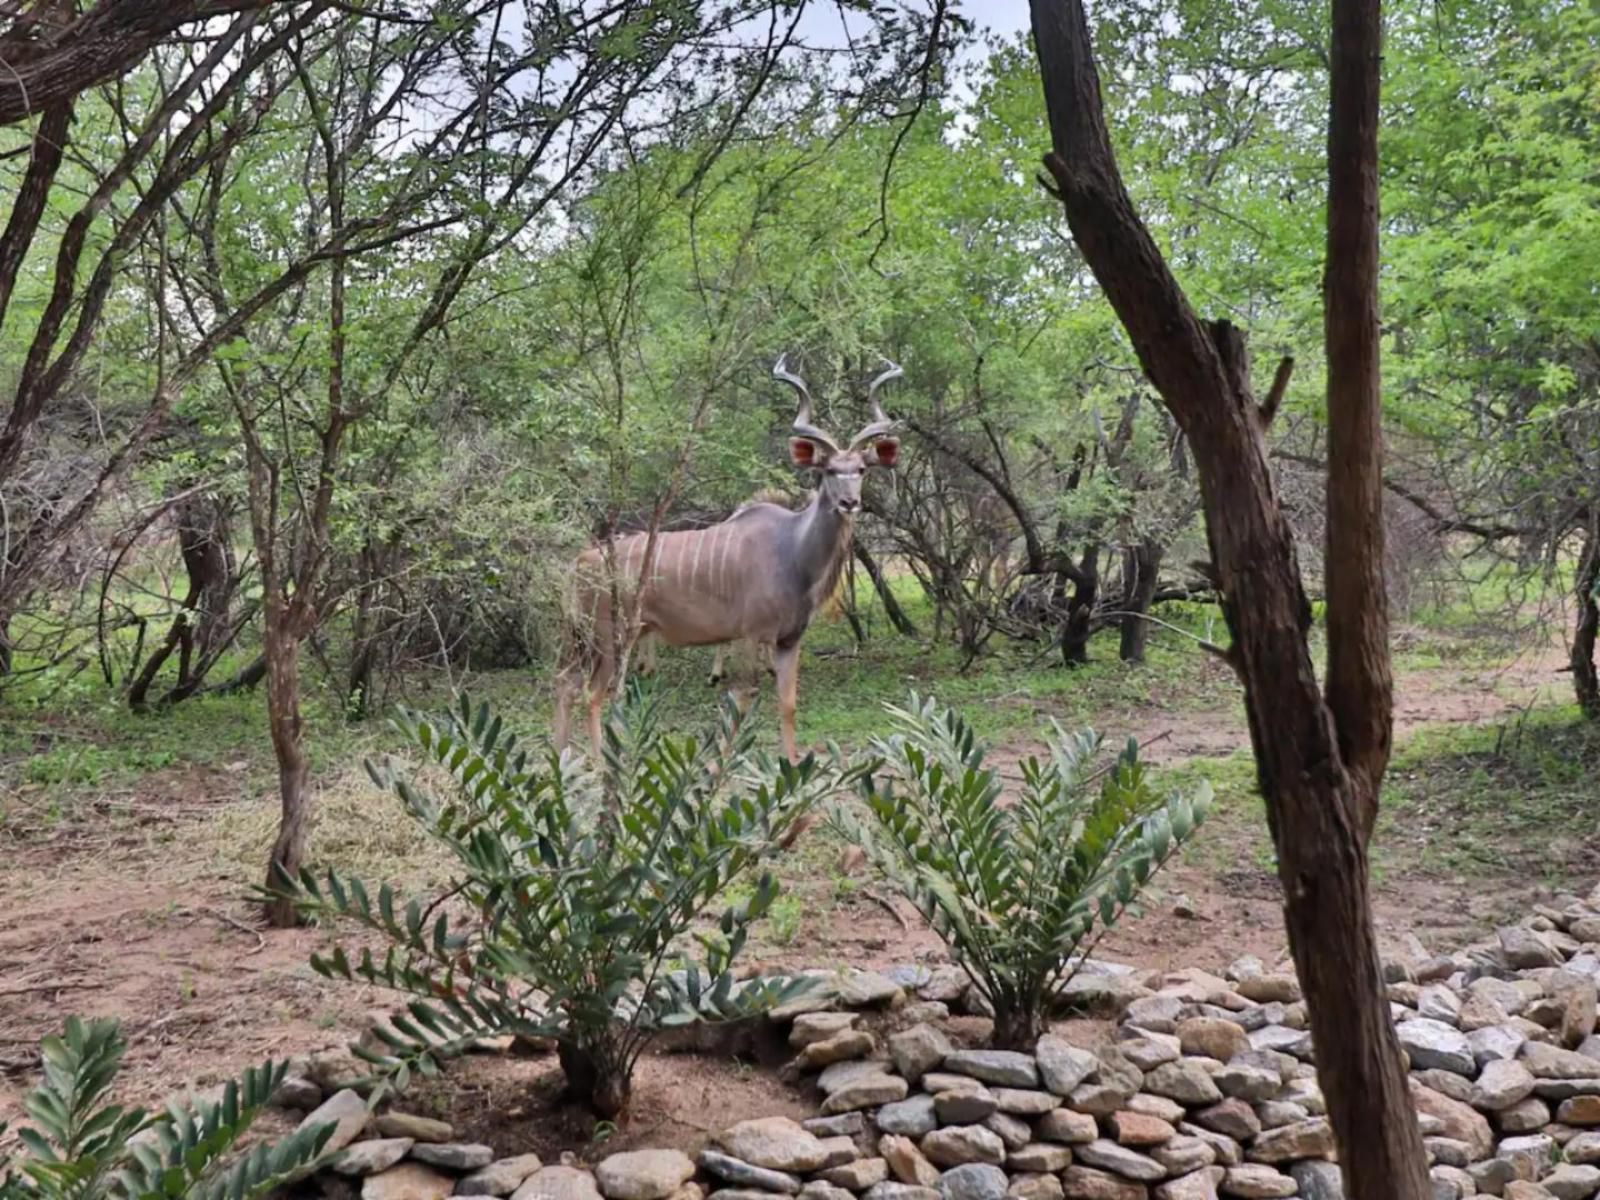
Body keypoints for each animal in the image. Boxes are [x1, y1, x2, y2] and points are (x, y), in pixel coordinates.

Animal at [553, 356, 908, 761]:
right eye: (829, 470)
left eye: (861, 470)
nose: (850, 502)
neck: (793, 549)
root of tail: (580, 563)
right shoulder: (751, 635)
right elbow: (741, 699)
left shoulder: (789, 640)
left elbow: (787, 703)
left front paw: (790, 763)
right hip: (607, 637)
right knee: (592, 693)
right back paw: (598, 764)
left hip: (587, 640)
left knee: (566, 684)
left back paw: (560, 757)